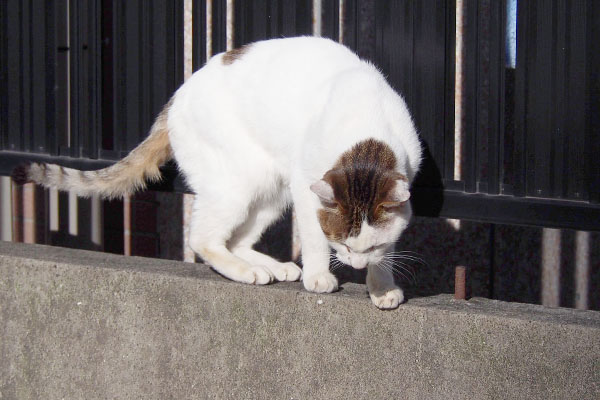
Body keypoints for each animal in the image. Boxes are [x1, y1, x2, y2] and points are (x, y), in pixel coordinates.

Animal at [10, 36, 422, 310]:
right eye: (343, 244)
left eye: (370, 247)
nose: (355, 264)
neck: (365, 138)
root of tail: (175, 98)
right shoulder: (308, 191)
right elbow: (314, 240)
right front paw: (319, 276)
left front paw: (381, 285)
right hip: (240, 182)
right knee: (202, 238)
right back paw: (246, 271)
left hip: (271, 190)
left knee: (235, 239)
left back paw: (267, 266)